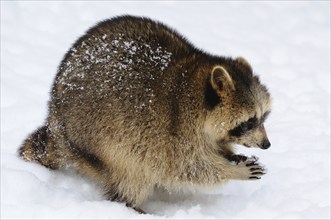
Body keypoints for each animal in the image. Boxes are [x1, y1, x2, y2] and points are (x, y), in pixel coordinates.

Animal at [18, 15, 272, 213]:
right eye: (249, 121)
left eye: (264, 117)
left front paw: (230, 155)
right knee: (131, 170)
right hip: (99, 137)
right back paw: (132, 206)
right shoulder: (176, 131)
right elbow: (189, 168)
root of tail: (55, 121)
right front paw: (231, 170)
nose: (267, 144)